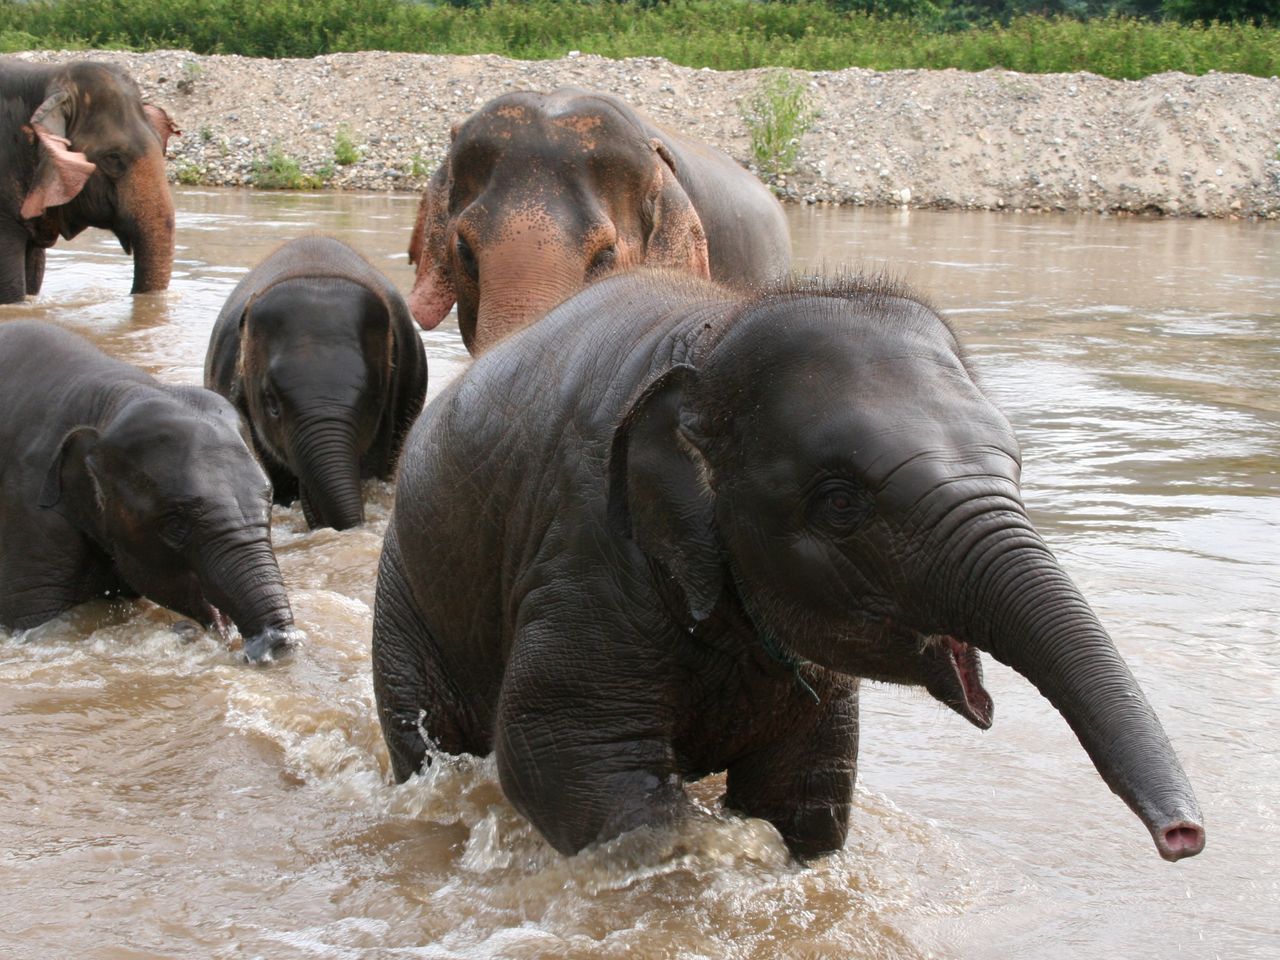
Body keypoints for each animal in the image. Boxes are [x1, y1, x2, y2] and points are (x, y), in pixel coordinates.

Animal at [371, 269, 1206, 864]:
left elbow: (807, 789)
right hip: (407, 592)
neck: (716, 335)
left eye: (1016, 467)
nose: (1184, 837)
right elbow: (568, 761)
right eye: (839, 502)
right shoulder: (586, 551)